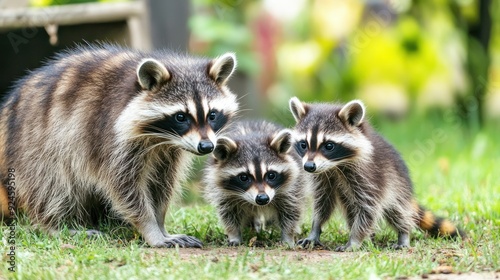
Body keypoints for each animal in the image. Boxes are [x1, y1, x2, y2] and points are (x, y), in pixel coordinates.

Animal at [290, 97, 464, 252]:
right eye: (303, 144)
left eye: (329, 146)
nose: (309, 166)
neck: (335, 166)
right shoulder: (323, 177)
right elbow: (323, 204)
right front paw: (315, 230)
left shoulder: (370, 177)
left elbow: (368, 209)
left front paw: (354, 241)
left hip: (397, 185)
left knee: (398, 211)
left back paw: (403, 234)